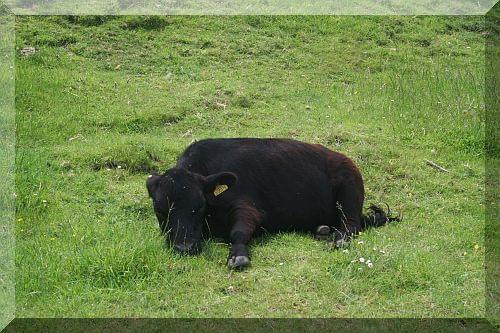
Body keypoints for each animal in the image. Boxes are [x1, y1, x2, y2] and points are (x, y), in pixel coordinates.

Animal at [146, 137, 400, 268]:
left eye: (199, 207)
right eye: (160, 210)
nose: (184, 248)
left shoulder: (249, 207)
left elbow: (238, 231)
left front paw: (238, 256)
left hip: (348, 193)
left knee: (352, 225)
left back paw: (338, 240)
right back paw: (323, 230)